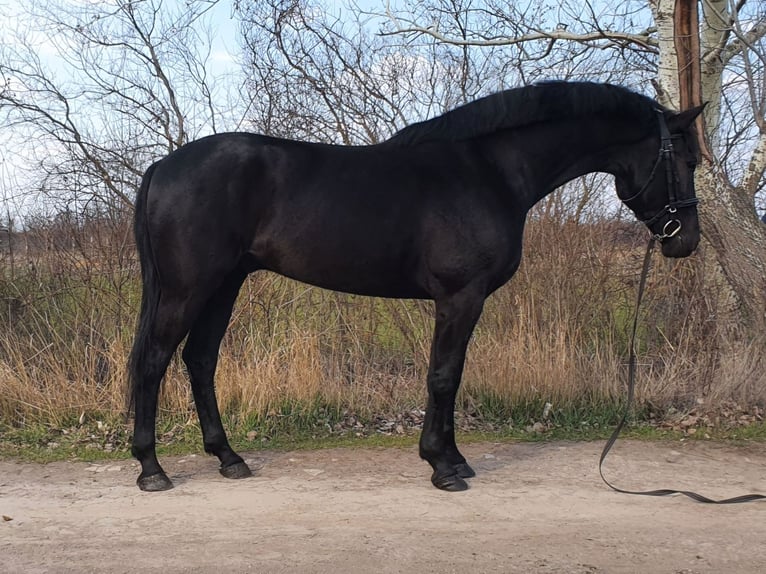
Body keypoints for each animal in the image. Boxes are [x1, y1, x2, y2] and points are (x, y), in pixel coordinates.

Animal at [129, 82, 704, 496]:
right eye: (687, 161)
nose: (686, 241)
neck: (491, 171)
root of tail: (162, 166)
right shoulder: (460, 297)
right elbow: (443, 377)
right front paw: (441, 466)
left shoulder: (466, 302)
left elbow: (452, 376)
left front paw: (456, 460)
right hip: (188, 288)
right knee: (154, 361)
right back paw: (152, 469)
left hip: (224, 285)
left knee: (200, 360)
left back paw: (229, 458)